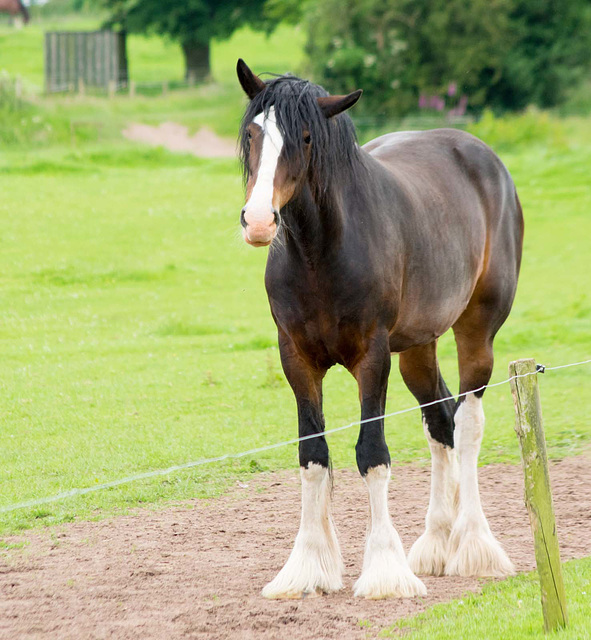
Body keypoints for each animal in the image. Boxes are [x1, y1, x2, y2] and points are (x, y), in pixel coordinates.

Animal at [236, 60, 524, 600]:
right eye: (252, 133)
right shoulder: (296, 359)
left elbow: (371, 454)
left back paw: (474, 544)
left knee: (468, 423)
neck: (320, 253)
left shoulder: (371, 358)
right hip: (417, 348)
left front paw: (385, 572)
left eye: (306, 137)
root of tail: (483, 157)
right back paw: (436, 543)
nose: (259, 220)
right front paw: (307, 567)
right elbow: (313, 455)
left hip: (477, 329)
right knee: (441, 420)